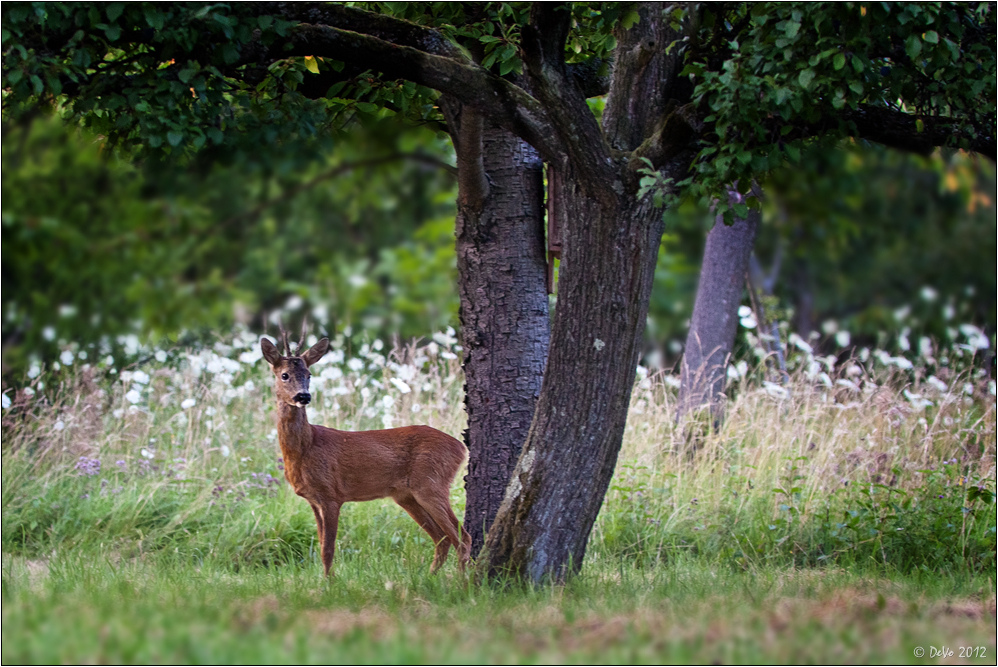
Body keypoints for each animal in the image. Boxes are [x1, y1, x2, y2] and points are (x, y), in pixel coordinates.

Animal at [262, 326, 472, 576]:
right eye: (284, 375)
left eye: (309, 374)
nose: (303, 396)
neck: (306, 447)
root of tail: (460, 446)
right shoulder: (314, 499)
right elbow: (321, 545)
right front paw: (326, 579)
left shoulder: (332, 494)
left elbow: (328, 549)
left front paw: (330, 582)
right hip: (407, 495)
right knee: (442, 538)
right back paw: (430, 578)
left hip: (431, 483)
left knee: (463, 538)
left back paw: (462, 581)